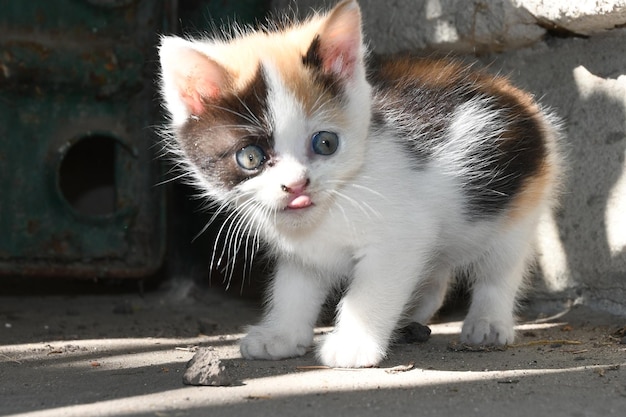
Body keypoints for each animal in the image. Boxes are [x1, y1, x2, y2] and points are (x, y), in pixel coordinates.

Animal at [156, 0, 560, 368]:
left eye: (325, 143)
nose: (297, 185)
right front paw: (281, 335)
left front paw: (354, 344)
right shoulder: (304, 251)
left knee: (501, 267)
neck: (333, 206)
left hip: (518, 205)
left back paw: (489, 321)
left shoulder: (401, 235)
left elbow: (372, 289)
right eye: (250, 157)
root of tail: (516, 95)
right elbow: (294, 286)